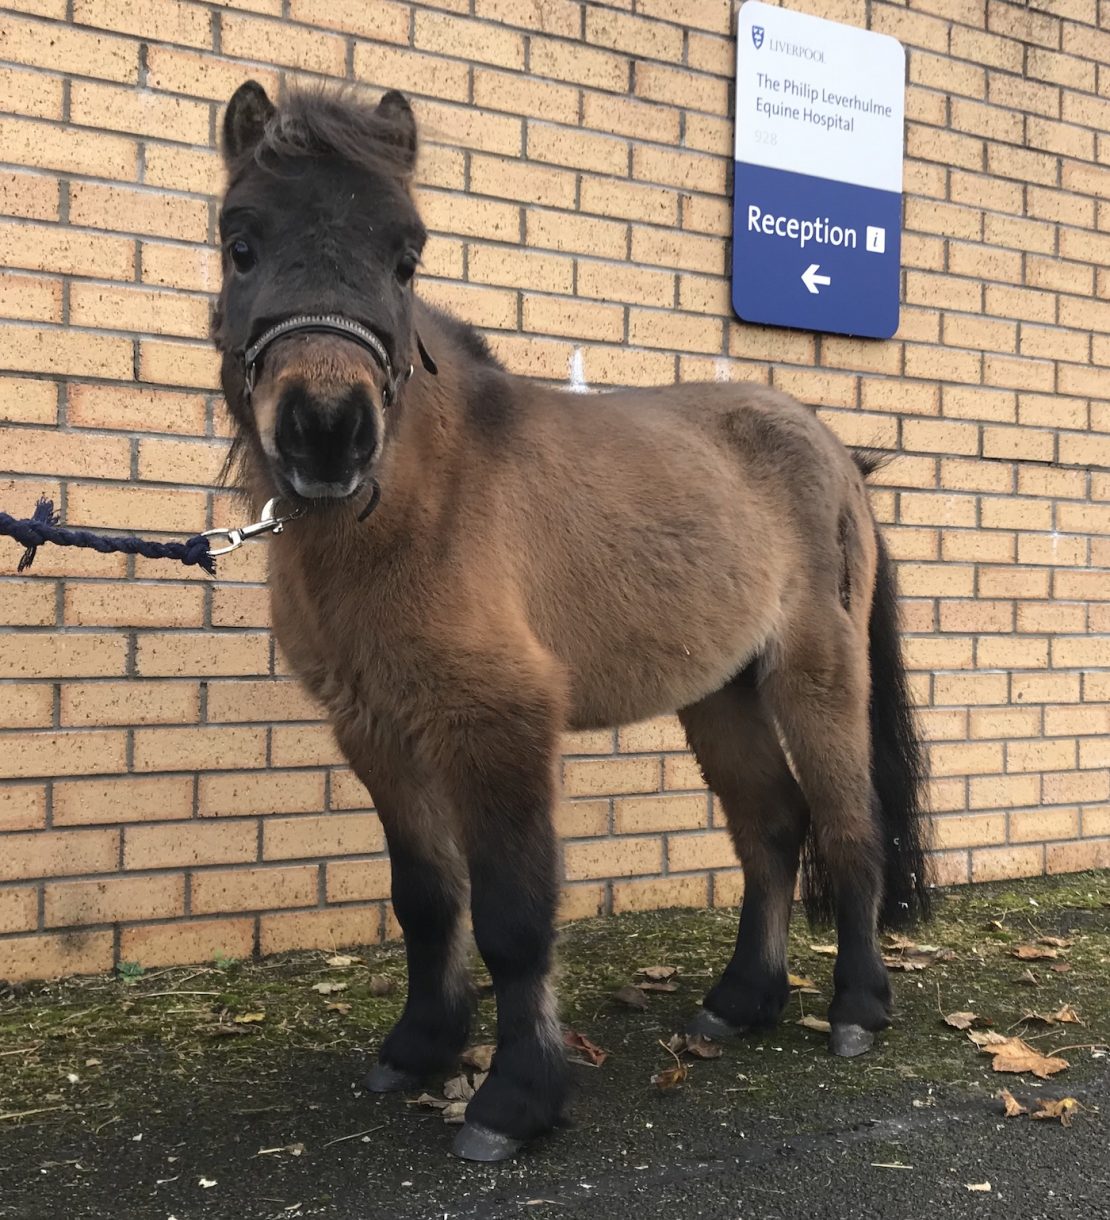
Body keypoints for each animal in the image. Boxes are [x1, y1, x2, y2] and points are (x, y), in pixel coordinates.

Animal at [212, 81, 931, 1162]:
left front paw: (514, 1100)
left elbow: (513, 915)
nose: (327, 433)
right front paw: (419, 1047)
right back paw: (740, 1001)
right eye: (239, 240)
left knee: (849, 827)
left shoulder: (499, 725)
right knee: (772, 826)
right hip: (720, 695)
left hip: (816, 675)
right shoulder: (375, 728)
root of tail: (832, 445)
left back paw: (857, 1008)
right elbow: (427, 896)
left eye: (407, 253)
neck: (419, 504)